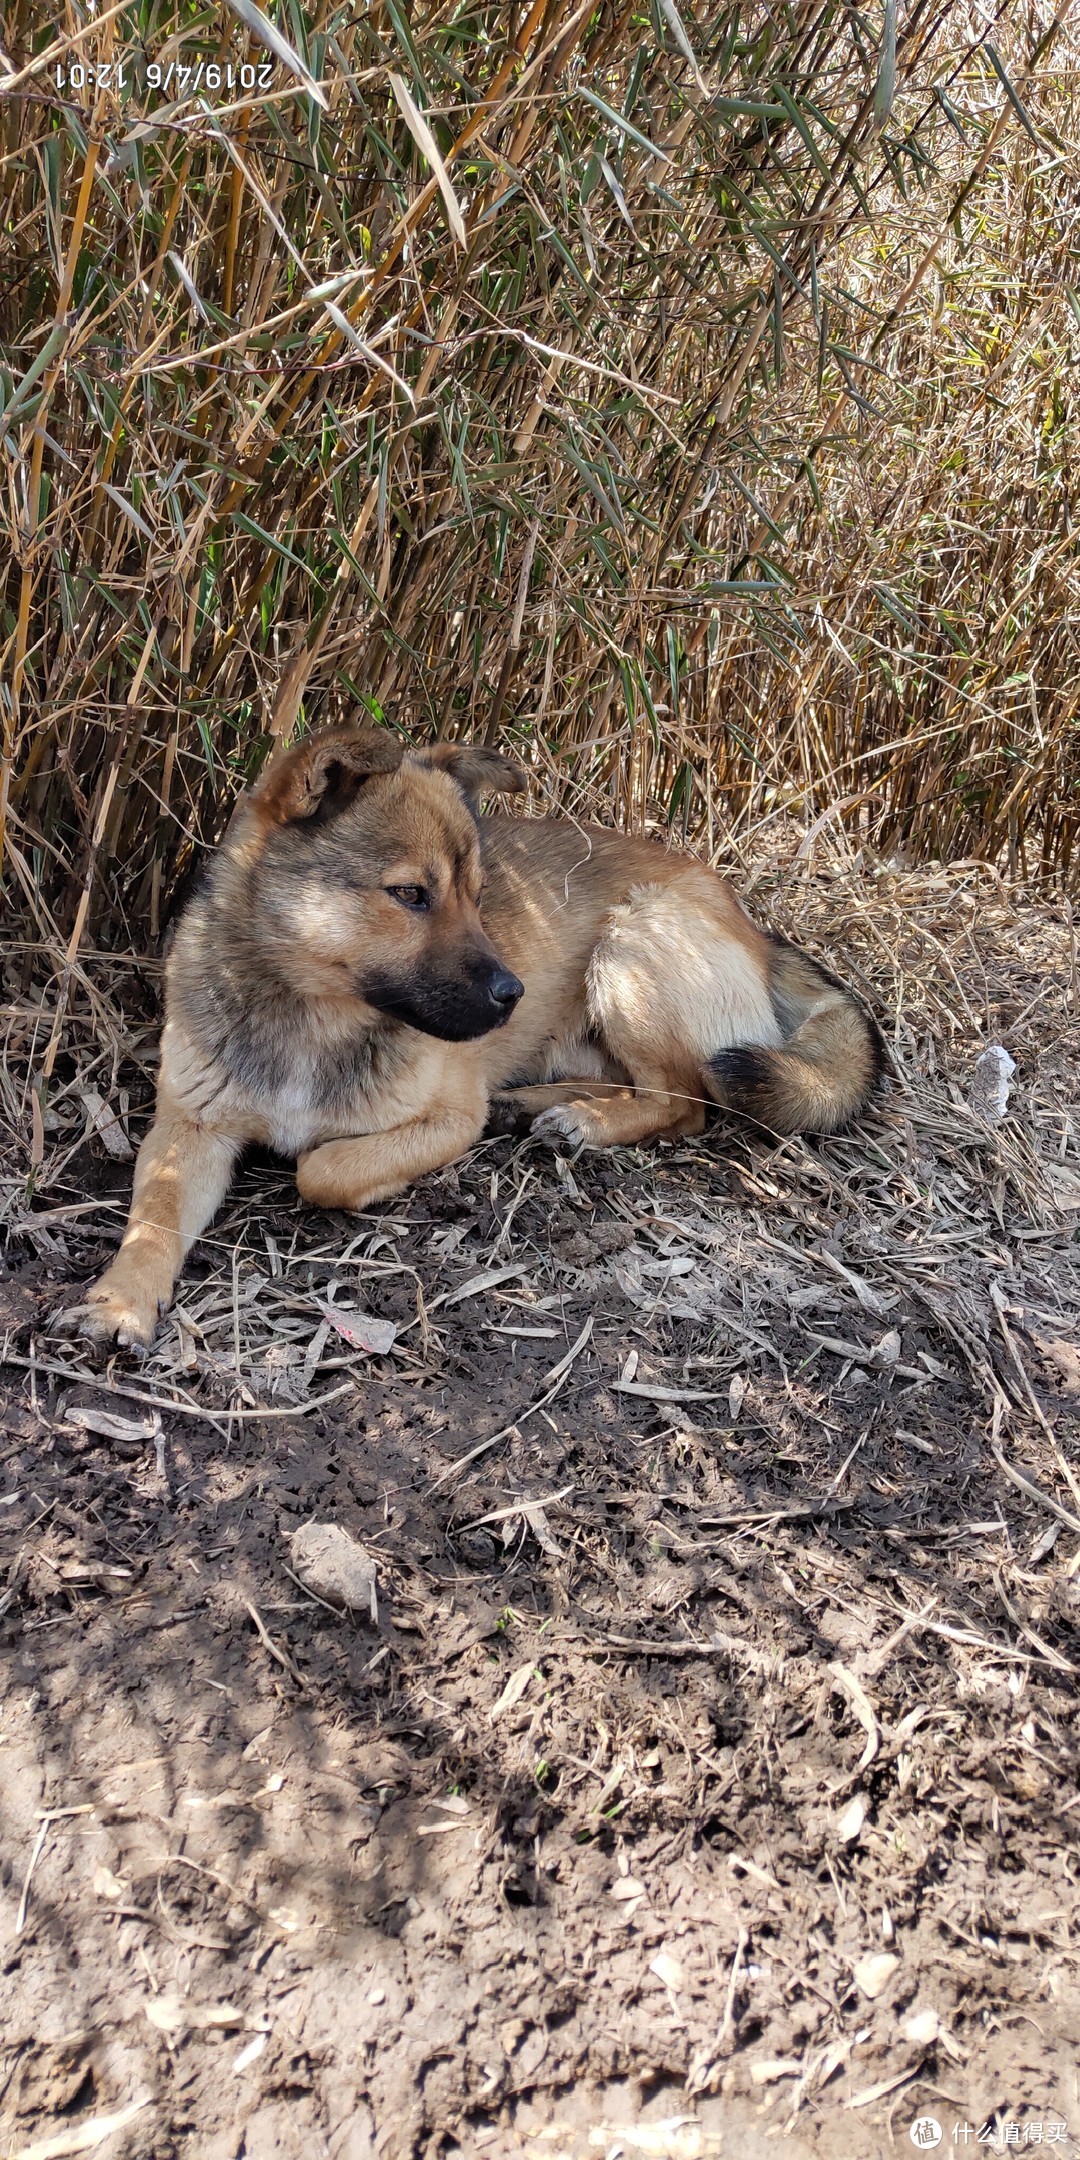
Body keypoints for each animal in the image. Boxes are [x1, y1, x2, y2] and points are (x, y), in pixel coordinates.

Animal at [63, 734, 881, 1356]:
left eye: (477, 895)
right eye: (410, 895)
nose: (511, 992)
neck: (314, 1014)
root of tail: (755, 926)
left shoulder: (450, 1119)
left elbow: (322, 1169)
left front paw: (354, 1177)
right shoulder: (188, 1129)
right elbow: (153, 1220)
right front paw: (120, 1300)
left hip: (630, 951)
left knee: (687, 1102)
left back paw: (585, 1120)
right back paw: (543, 1106)